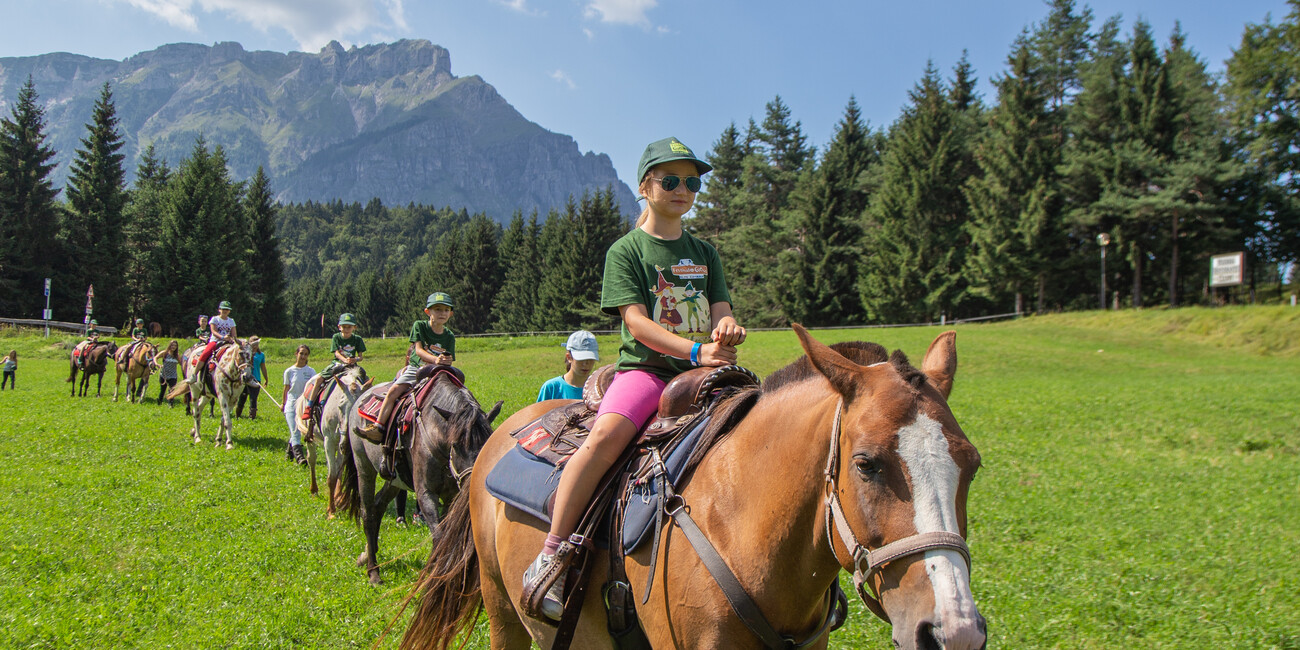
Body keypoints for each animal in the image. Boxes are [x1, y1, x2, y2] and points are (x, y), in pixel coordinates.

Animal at [295, 366, 371, 517]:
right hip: (311, 438)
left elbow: (338, 472)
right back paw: (314, 489)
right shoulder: (329, 442)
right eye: (340, 407)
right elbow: (331, 476)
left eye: (359, 409)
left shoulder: (343, 447)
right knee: (312, 459)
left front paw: (338, 499)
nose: (346, 444)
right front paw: (331, 510)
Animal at [338, 366, 499, 585]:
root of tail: (360, 399)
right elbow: (438, 535)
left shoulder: (451, 497)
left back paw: (367, 555)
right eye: (455, 445)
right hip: (364, 469)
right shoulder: (425, 493)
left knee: (379, 505)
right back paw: (373, 571)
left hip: (395, 479)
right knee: (368, 513)